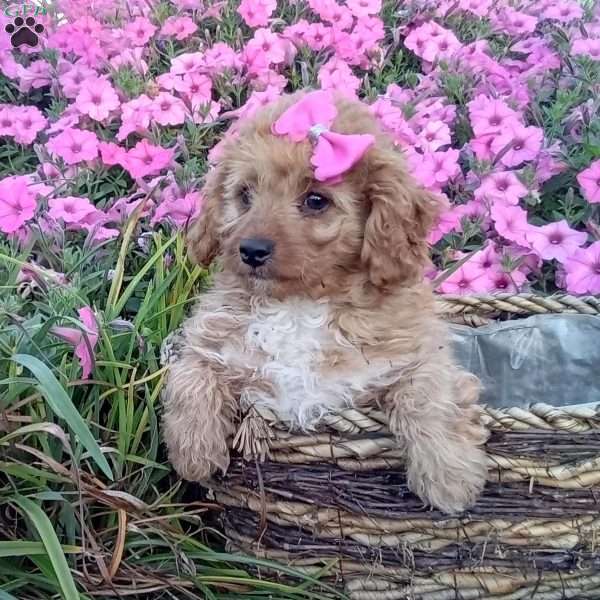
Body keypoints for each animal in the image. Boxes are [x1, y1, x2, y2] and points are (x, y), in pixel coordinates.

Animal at [163, 88, 488, 510]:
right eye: (245, 195)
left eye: (316, 200)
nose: (251, 250)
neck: (297, 305)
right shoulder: (212, 342)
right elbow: (190, 376)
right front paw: (194, 453)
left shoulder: (416, 354)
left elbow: (429, 395)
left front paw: (450, 479)